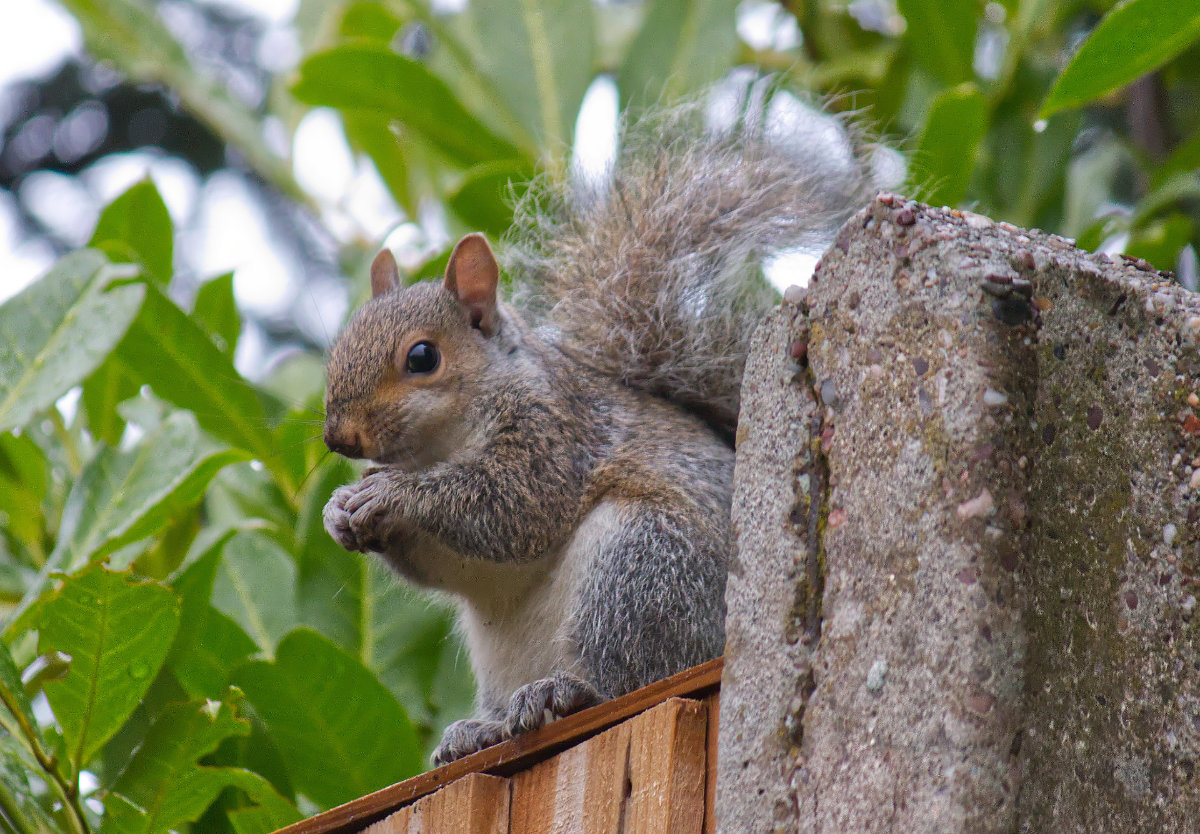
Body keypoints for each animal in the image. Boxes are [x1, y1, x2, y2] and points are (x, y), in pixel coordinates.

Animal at [324, 94, 878, 768]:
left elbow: (508, 508)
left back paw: (565, 692)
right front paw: (340, 509)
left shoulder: (553, 435)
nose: (339, 438)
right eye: (339, 347)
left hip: (642, 569)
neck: (442, 444)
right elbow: (446, 565)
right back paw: (478, 731)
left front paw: (392, 495)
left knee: (629, 675)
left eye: (422, 357)